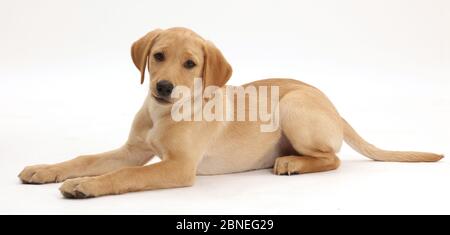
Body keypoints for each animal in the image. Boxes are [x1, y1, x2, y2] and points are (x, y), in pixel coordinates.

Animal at [18, 28, 442, 199]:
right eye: (158, 56)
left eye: (191, 64)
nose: (163, 88)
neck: (163, 114)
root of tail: (334, 107)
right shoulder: (133, 150)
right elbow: (86, 158)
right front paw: (46, 169)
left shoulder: (178, 168)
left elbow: (124, 176)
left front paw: (85, 186)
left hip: (292, 106)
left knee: (333, 158)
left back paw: (292, 163)